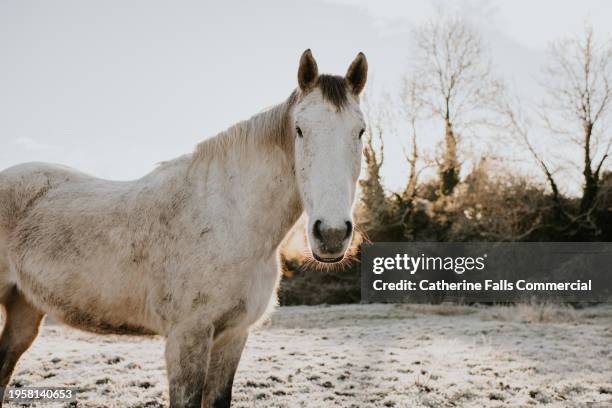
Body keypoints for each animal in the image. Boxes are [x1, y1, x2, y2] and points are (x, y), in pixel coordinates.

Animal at [0, 49, 366, 406]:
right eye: (300, 129)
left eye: (360, 131)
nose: (331, 234)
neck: (229, 222)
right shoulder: (187, 338)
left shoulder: (233, 336)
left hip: (24, 309)